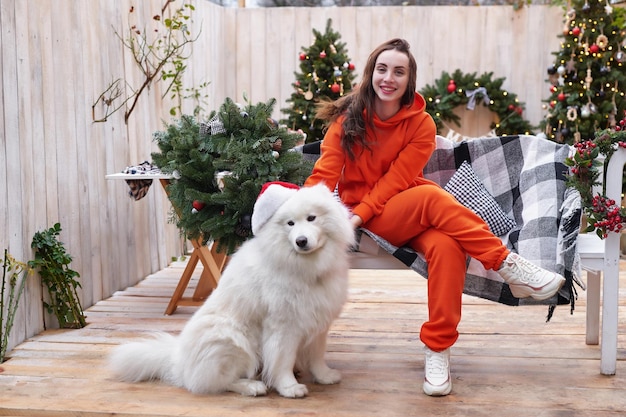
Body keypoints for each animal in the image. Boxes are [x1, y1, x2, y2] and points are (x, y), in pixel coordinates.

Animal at [108, 183, 356, 396]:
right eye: (290, 224)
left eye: (311, 218)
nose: (301, 241)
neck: (305, 267)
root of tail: (179, 363)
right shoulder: (283, 326)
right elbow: (282, 360)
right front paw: (289, 387)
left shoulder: (318, 321)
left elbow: (317, 356)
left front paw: (324, 376)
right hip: (233, 340)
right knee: (218, 382)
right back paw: (252, 386)